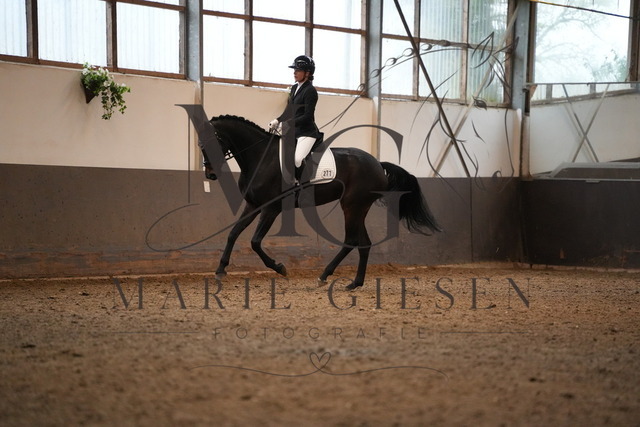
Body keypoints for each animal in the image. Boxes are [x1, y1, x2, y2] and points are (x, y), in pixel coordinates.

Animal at [205, 115, 440, 289]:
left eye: (213, 142)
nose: (210, 174)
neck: (261, 157)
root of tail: (377, 163)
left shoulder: (272, 208)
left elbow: (255, 241)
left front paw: (280, 268)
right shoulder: (253, 205)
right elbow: (234, 233)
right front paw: (220, 270)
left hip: (352, 206)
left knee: (351, 240)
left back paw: (324, 275)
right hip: (359, 208)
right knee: (363, 243)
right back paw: (355, 283)